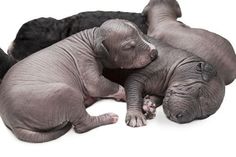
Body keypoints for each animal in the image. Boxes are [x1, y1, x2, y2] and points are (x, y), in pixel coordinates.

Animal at [0, 19, 159, 143]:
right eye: (129, 46)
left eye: (143, 35)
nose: (155, 52)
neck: (92, 39)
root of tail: (13, 123)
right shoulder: (87, 69)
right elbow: (107, 86)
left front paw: (146, 104)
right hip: (64, 93)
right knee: (82, 125)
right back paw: (107, 117)